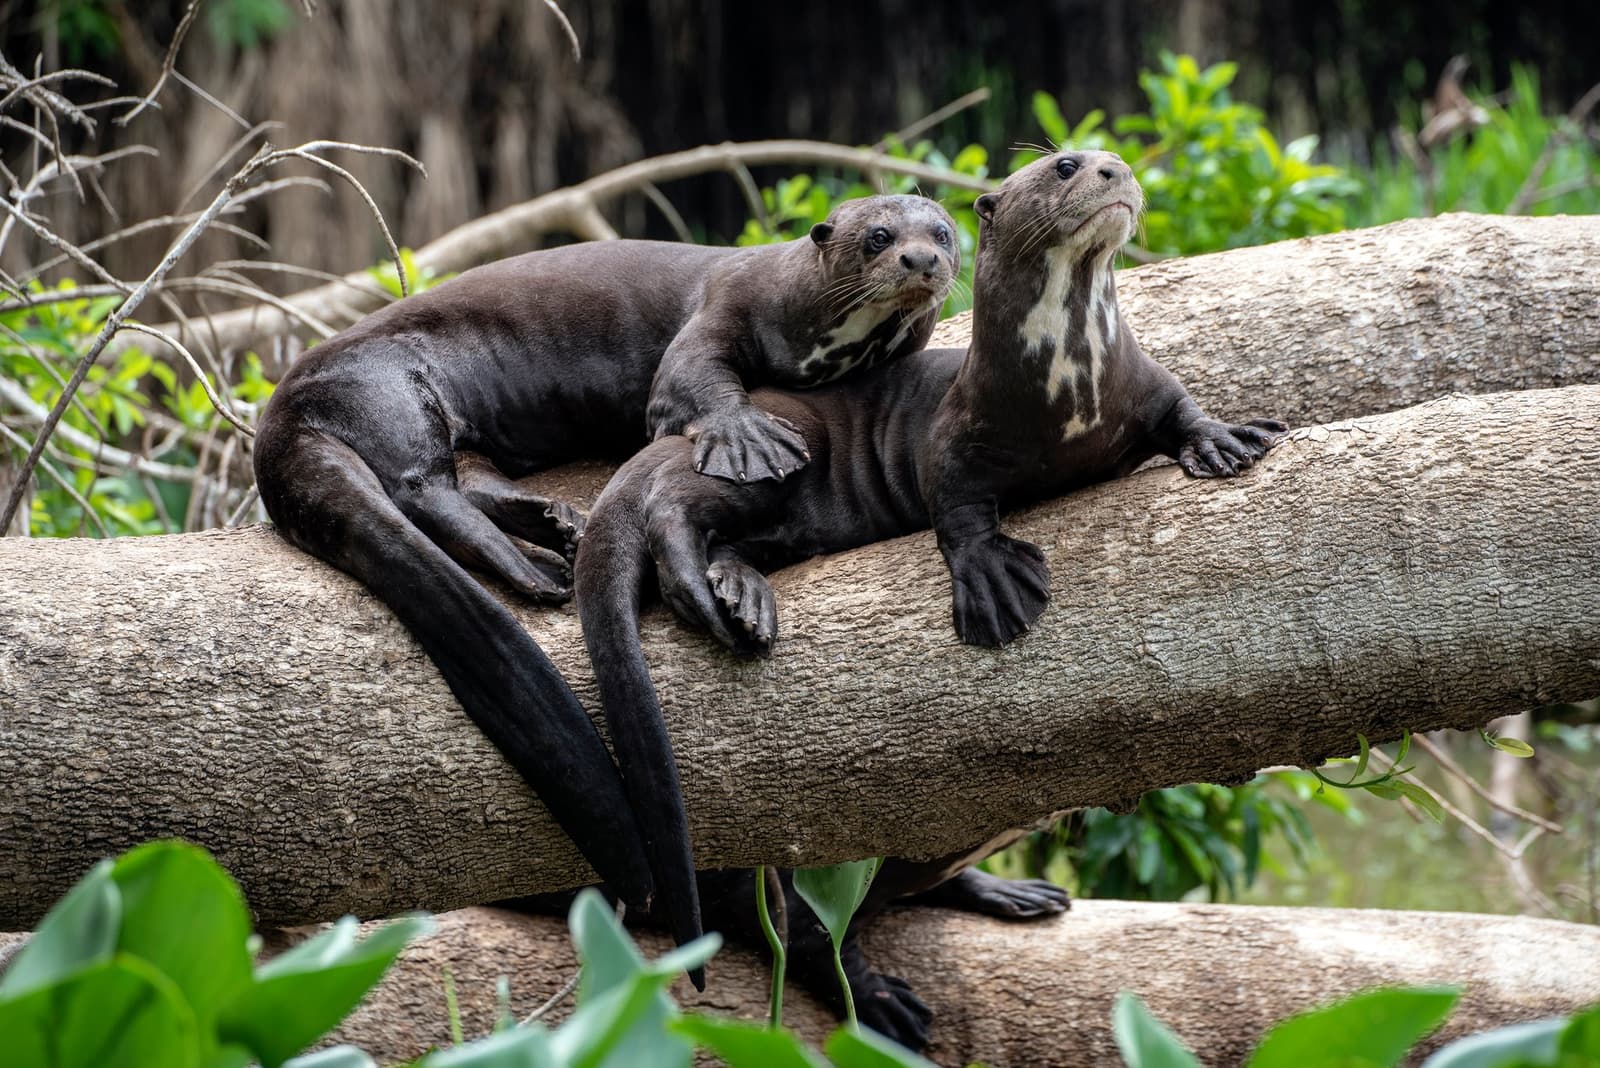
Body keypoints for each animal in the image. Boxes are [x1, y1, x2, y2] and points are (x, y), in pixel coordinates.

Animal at [252, 195, 959, 973]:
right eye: (879, 237)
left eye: (944, 232)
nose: (923, 260)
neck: (809, 322)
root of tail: (277, 415)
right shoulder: (725, 305)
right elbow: (689, 380)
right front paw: (749, 437)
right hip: (389, 392)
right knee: (420, 488)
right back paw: (538, 569)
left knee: (468, 481)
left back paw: (560, 528)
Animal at [570, 149, 1285, 1042]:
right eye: (1065, 164)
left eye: (1107, 158)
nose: (1114, 170)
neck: (1071, 383)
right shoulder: (956, 436)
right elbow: (957, 506)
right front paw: (992, 584)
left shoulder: (1143, 383)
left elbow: (1183, 407)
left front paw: (1228, 440)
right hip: (766, 463)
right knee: (809, 935)